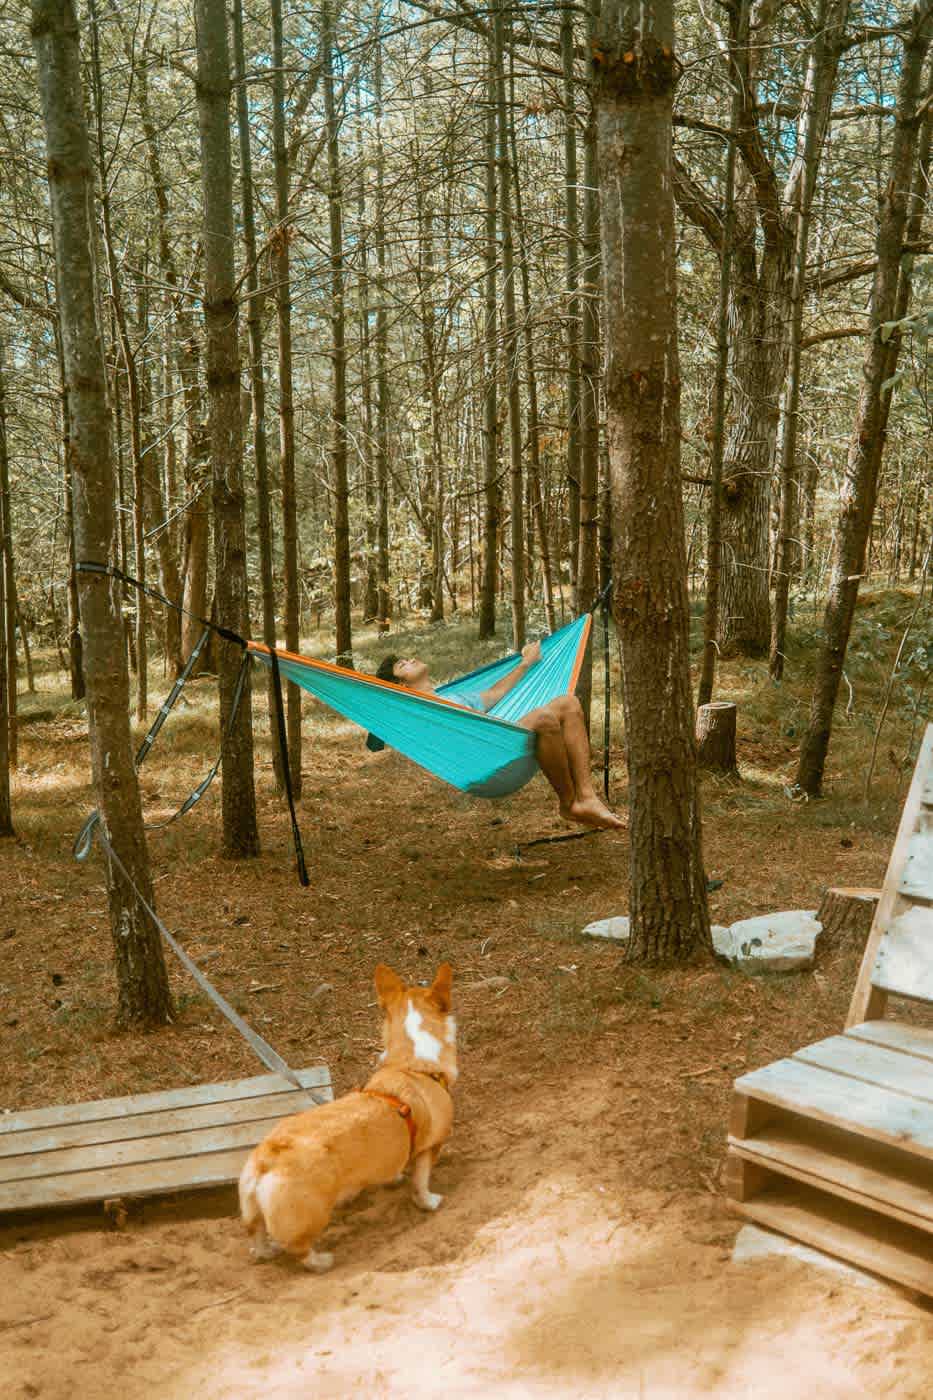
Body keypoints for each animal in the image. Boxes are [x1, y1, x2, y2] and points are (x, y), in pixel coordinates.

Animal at [238, 963, 456, 1271]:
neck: (411, 1063)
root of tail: (267, 1158)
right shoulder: (429, 1149)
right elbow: (421, 1183)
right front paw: (429, 1202)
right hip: (313, 1215)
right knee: (299, 1249)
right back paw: (321, 1261)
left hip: (252, 1210)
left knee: (256, 1232)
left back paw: (265, 1252)